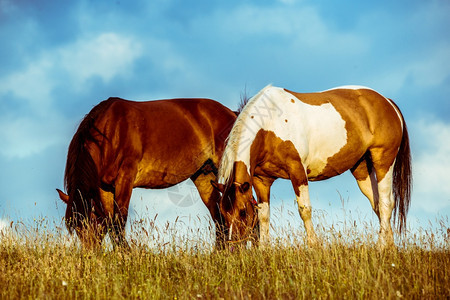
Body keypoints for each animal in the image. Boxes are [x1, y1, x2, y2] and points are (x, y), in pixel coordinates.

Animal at [57, 96, 236, 248]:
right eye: (76, 228)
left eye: (92, 222)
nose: (91, 254)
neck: (111, 131)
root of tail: (230, 113)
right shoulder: (104, 188)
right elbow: (111, 222)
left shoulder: (125, 179)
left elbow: (119, 221)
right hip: (203, 175)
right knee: (219, 217)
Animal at [216, 84, 414, 248]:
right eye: (223, 213)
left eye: (242, 212)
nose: (233, 246)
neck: (269, 124)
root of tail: (387, 102)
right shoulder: (261, 180)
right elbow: (264, 214)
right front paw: (264, 250)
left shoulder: (297, 171)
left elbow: (305, 210)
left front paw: (313, 246)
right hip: (362, 170)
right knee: (377, 204)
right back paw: (390, 249)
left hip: (383, 161)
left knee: (387, 203)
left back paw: (380, 247)